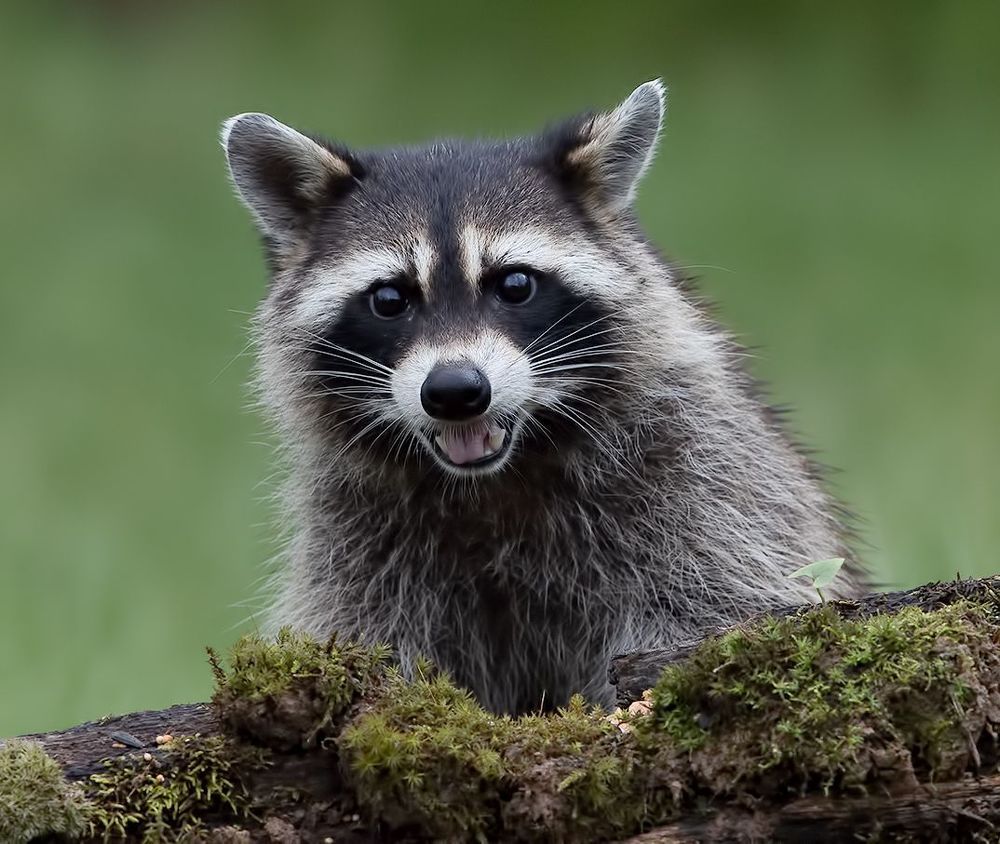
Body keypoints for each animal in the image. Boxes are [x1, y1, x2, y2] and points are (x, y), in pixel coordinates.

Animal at [221, 81, 863, 714]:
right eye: (388, 299)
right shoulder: (355, 537)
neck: (492, 482)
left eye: (515, 283)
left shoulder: (702, 480)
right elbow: (367, 631)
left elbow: (710, 604)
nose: (455, 391)